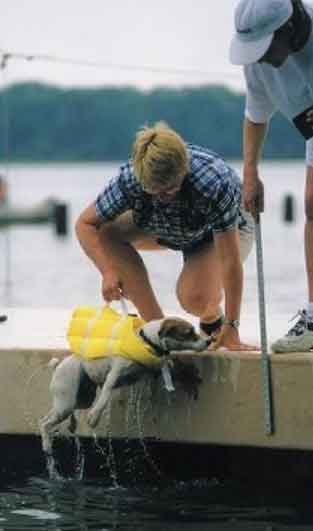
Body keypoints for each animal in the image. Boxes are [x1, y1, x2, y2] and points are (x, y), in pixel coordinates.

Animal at [40, 316, 207, 458]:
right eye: (189, 333)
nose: (209, 340)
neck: (145, 341)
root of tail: (57, 365)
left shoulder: (151, 369)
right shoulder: (112, 376)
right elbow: (105, 396)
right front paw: (94, 416)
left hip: (80, 399)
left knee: (51, 416)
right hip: (67, 399)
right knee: (45, 423)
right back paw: (47, 444)